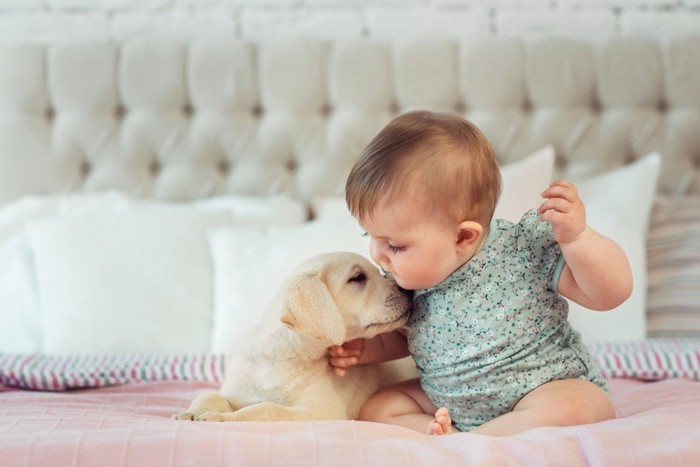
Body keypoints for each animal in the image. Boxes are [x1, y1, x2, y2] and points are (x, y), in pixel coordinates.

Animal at [175, 252, 416, 424]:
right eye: (358, 278)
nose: (408, 290)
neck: (283, 357)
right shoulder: (239, 392)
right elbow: (211, 395)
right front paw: (193, 412)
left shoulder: (324, 410)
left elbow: (267, 408)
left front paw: (222, 417)